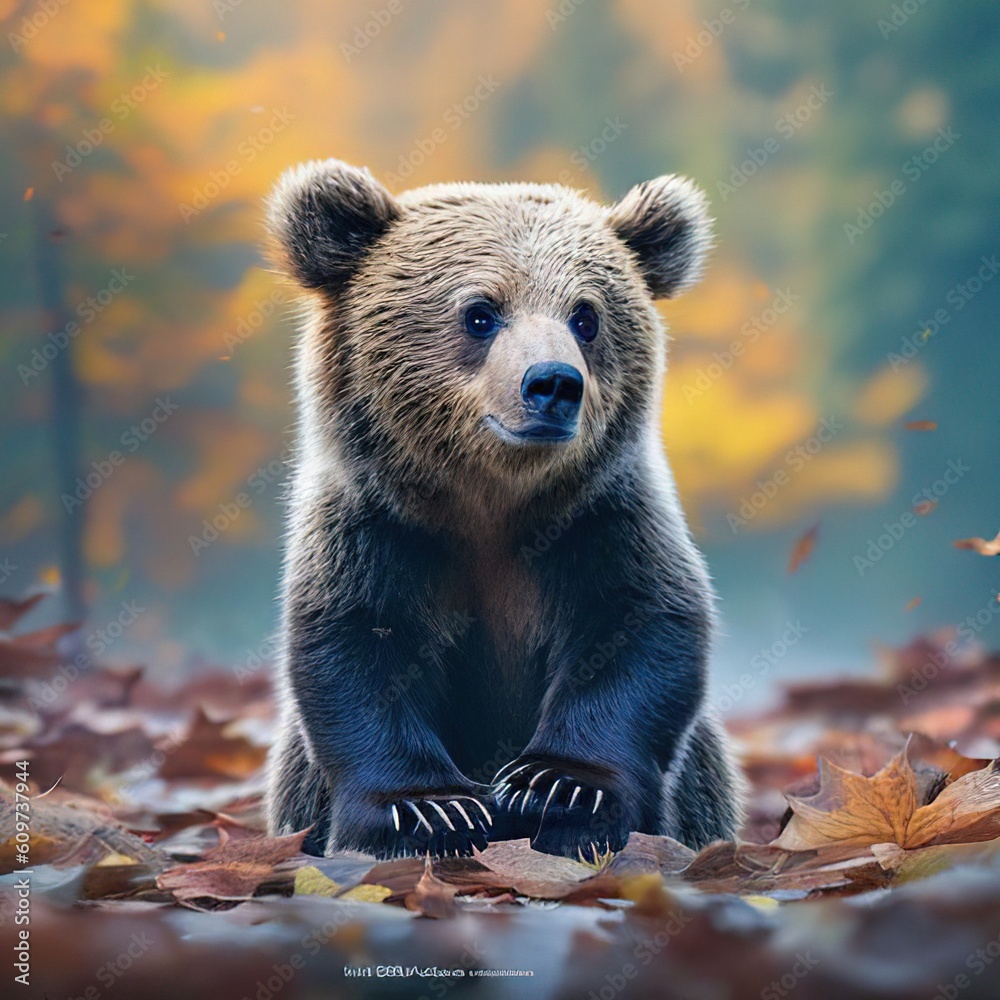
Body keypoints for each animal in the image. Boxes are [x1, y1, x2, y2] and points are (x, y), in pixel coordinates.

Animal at [265, 158, 745, 860]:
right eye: (480, 313)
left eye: (586, 316)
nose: (553, 384)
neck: (492, 504)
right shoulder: (379, 529)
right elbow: (356, 650)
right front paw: (430, 811)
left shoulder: (602, 522)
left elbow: (640, 629)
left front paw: (560, 790)